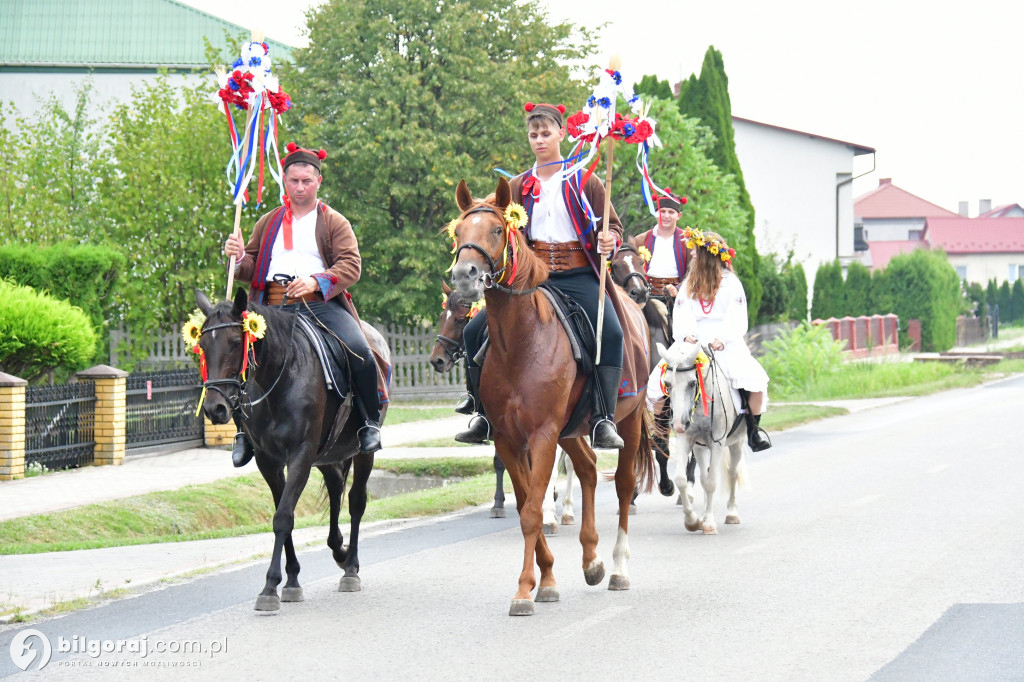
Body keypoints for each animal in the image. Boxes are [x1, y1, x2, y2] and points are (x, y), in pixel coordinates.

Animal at [195, 288, 387, 606]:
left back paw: (350, 568)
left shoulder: (300, 455)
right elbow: (283, 512)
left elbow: (283, 517)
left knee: (356, 500)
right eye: (202, 345)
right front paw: (292, 578)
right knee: (336, 485)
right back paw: (339, 549)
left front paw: (270, 586)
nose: (214, 408)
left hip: (362, 452)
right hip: (327, 454)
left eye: (235, 342)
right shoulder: (268, 461)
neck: (280, 377)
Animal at [448, 178, 655, 614]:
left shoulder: (542, 434)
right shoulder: (509, 439)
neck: (521, 342)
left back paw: (618, 568)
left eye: (496, 230)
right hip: (572, 430)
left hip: (624, 422)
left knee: (624, 484)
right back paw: (591, 560)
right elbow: (528, 502)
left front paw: (525, 589)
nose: (464, 276)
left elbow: (531, 510)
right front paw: (545, 580)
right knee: (590, 469)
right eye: (459, 232)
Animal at [659, 339, 749, 532]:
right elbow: (682, 479)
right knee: (704, 476)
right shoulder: (688, 439)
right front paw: (692, 520)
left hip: (736, 443)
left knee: (732, 473)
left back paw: (732, 513)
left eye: (693, 383)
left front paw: (707, 522)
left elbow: (711, 482)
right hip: (700, 448)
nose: (679, 424)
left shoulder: (717, 443)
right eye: (668, 384)